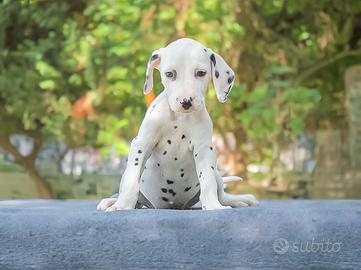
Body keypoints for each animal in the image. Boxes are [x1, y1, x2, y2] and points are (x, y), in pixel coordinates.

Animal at [97, 37, 258, 211]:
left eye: (201, 73)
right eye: (169, 74)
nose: (186, 101)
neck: (180, 119)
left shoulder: (204, 149)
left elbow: (207, 181)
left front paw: (213, 206)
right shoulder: (142, 144)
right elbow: (131, 180)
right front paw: (122, 205)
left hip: (217, 174)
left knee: (222, 194)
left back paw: (240, 200)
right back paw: (111, 201)